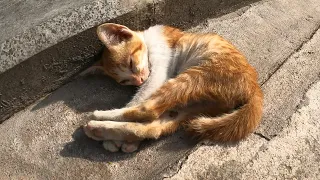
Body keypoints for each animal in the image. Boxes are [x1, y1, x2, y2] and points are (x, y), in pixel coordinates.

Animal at [82, 22, 262, 152]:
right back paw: (99, 130)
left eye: (131, 63)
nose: (139, 81)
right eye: (124, 81)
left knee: (147, 110)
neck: (148, 38)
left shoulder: (159, 71)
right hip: (192, 106)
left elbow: (139, 98)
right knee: (153, 128)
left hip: (193, 78)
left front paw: (117, 141)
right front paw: (123, 142)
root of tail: (254, 88)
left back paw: (100, 116)